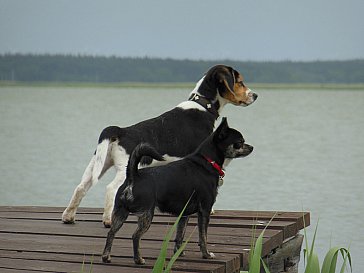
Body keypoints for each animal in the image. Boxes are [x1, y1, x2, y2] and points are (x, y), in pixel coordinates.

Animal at [61, 63, 256, 225]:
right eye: (240, 82)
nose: (255, 95)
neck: (203, 105)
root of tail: (120, 130)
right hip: (124, 169)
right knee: (111, 189)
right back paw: (108, 220)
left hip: (98, 164)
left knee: (80, 187)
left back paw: (68, 216)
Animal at [101, 117, 252, 264]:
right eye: (239, 142)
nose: (251, 147)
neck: (208, 162)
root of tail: (133, 176)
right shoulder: (205, 211)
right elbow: (203, 236)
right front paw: (206, 254)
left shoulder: (184, 215)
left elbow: (180, 235)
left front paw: (178, 253)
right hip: (146, 214)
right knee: (135, 236)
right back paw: (138, 259)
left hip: (120, 213)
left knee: (111, 233)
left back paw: (106, 257)